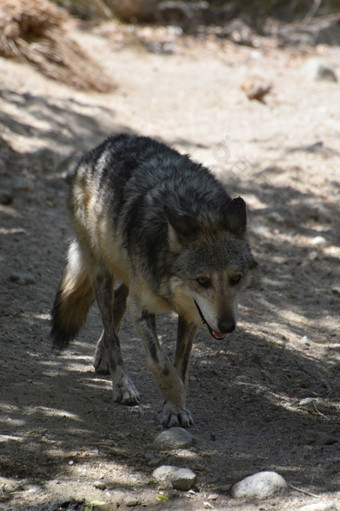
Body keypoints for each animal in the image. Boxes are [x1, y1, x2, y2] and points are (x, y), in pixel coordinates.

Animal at [49, 135, 254, 428]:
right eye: (202, 281)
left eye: (235, 279)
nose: (228, 326)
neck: (196, 208)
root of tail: (107, 143)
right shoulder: (144, 308)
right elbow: (162, 364)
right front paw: (174, 400)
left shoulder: (191, 315)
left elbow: (181, 366)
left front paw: (175, 407)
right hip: (102, 274)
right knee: (112, 331)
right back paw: (122, 384)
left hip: (128, 276)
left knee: (117, 306)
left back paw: (102, 356)